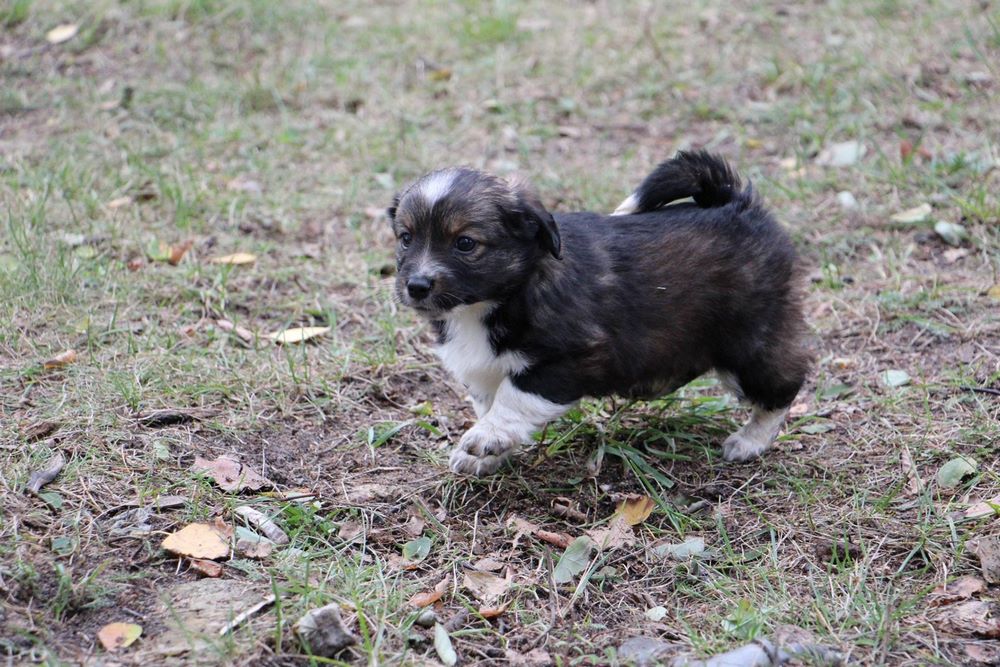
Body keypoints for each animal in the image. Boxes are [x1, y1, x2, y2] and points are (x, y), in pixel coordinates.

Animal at [388, 151, 810, 476]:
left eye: (465, 243)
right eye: (406, 238)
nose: (417, 286)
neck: (493, 301)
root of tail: (735, 203)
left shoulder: (572, 359)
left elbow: (513, 397)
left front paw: (485, 436)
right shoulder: (483, 372)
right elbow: (492, 404)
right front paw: (488, 453)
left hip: (749, 341)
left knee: (782, 387)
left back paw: (750, 441)